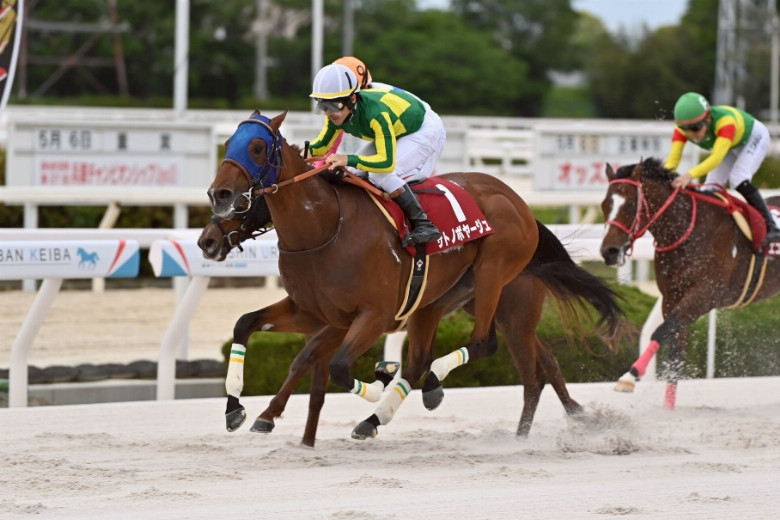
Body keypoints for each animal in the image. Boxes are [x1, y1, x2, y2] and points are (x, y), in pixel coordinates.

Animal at [207, 109, 621, 442]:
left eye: (257, 147)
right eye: (228, 143)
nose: (218, 198)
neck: (324, 227)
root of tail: (521, 204)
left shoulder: (371, 316)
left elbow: (336, 366)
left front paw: (379, 381)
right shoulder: (313, 312)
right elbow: (249, 326)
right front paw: (238, 409)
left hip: (496, 280)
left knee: (487, 348)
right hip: (448, 305)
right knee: (514, 361)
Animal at [600, 157, 780, 410]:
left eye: (630, 205)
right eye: (604, 205)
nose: (609, 252)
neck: (687, 231)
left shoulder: (704, 296)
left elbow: (661, 332)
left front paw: (630, 376)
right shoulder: (671, 298)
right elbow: (676, 351)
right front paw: (668, 408)